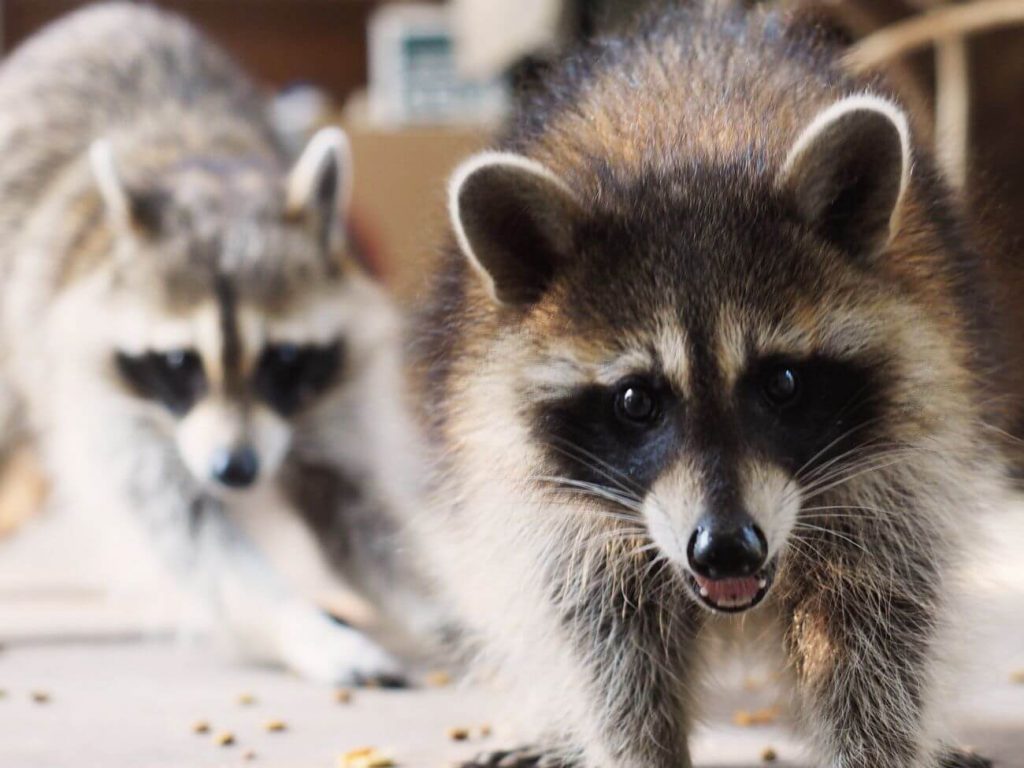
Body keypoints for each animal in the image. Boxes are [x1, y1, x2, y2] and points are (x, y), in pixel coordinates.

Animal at [0, 3, 428, 688]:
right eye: (179, 363)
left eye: (283, 358)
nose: (236, 471)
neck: (206, 168)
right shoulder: (102, 399)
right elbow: (189, 532)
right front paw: (301, 626)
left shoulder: (335, 396)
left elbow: (364, 510)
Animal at [409, 1, 1015, 768]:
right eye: (635, 400)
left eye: (782, 381)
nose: (727, 547)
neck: (689, 150)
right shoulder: (568, 522)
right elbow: (609, 652)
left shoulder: (894, 483)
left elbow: (877, 644)